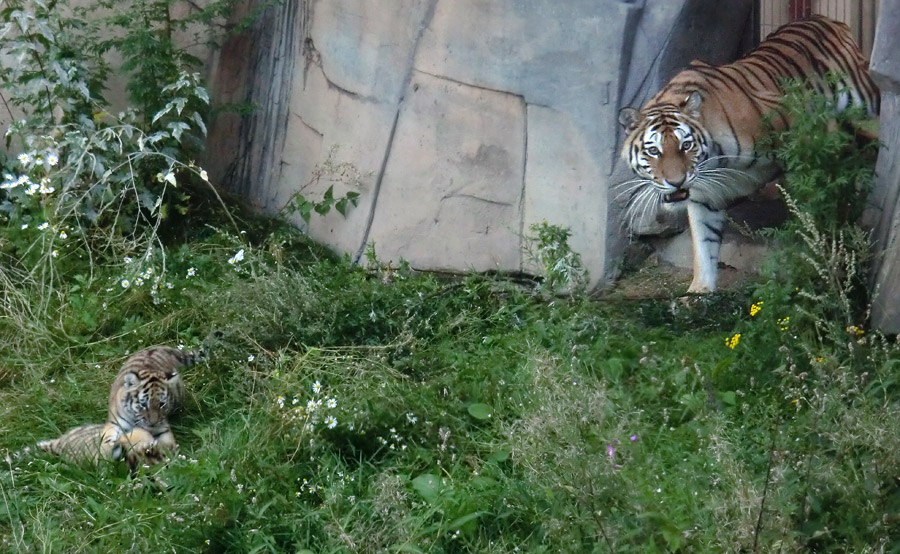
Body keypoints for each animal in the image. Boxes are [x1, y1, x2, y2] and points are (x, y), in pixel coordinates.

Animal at [620, 16, 880, 294]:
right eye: (654, 151)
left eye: (686, 145)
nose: (676, 182)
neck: (714, 161)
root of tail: (827, 19)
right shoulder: (704, 197)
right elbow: (703, 246)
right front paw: (699, 292)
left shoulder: (801, 128)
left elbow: (817, 201)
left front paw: (825, 252)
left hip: (862, 94)